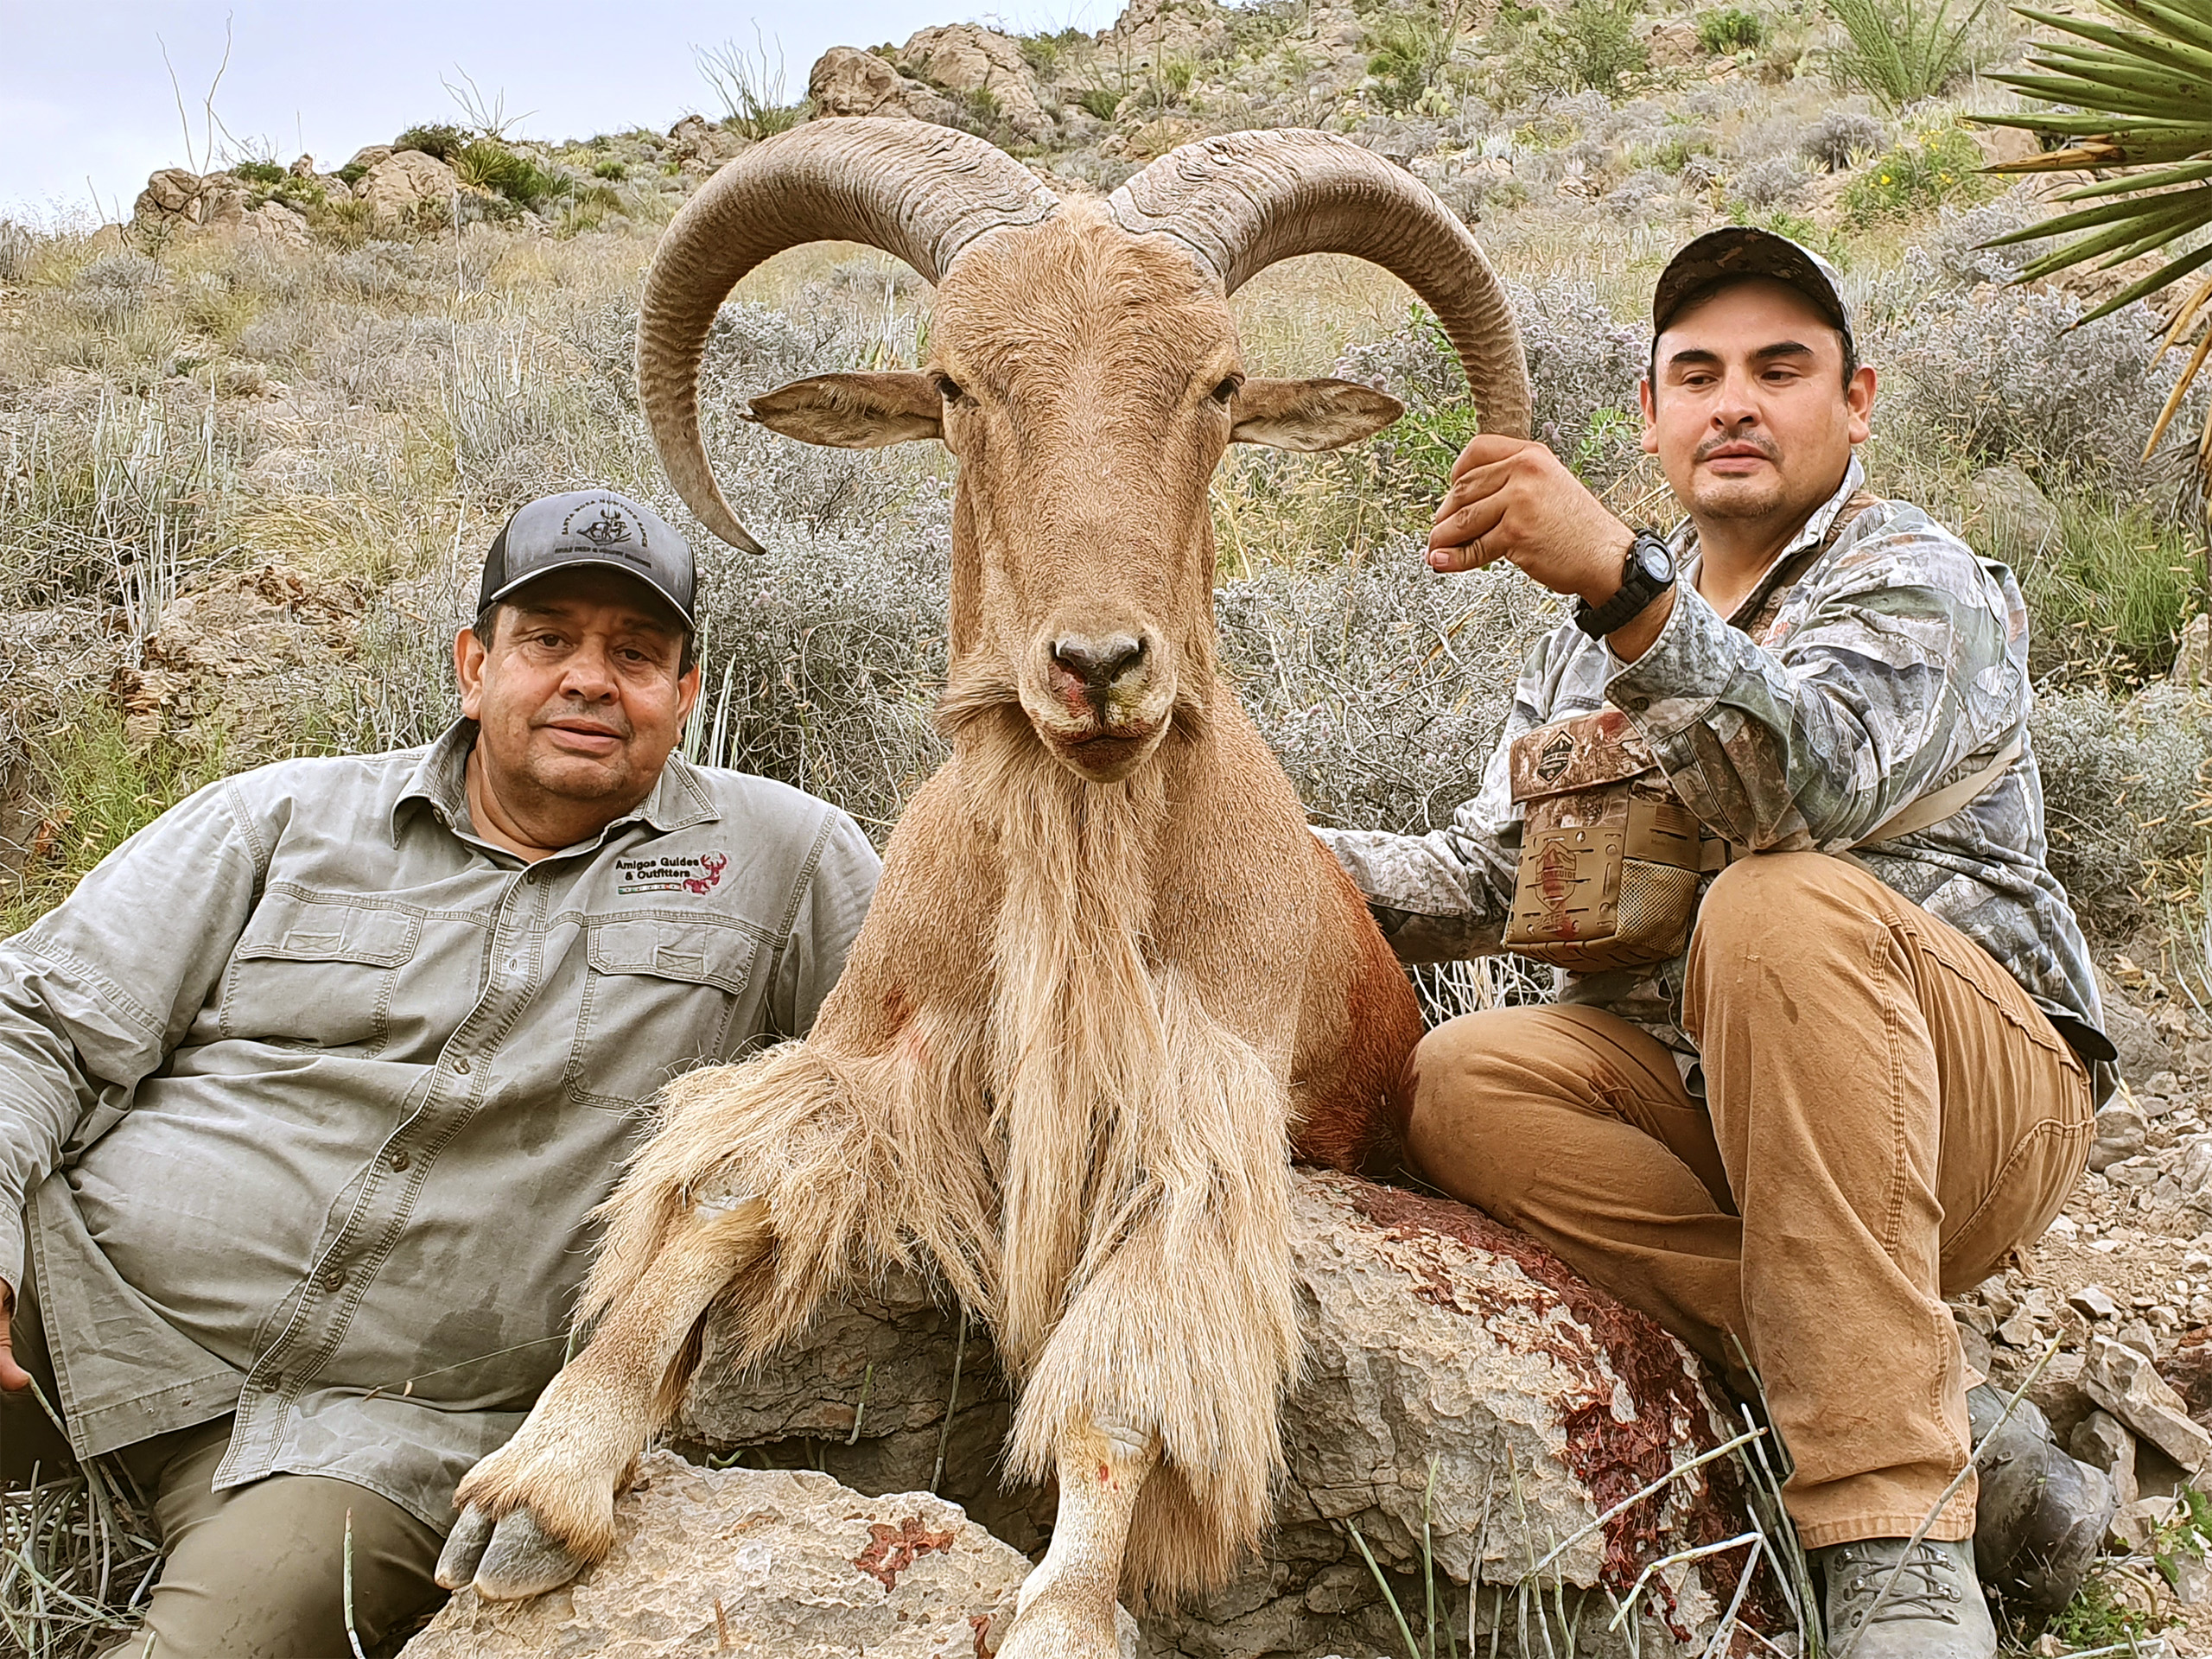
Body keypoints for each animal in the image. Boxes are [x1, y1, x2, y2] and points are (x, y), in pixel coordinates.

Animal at [434, 117, 1531, 1658]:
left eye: (1219, 385)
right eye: (958, 384)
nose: (1099, 664)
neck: (1080, 854)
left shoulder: (1198, 1115)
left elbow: (1125, 1382)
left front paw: (1064, 1609)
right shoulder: (873, 1047)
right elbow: (720, 1191)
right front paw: (535, 1488)